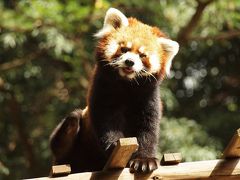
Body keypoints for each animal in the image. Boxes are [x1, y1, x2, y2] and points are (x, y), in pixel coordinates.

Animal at [49, 7, 179, 174]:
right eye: (124, 49)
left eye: (142, 55)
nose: (130, 61)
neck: (127, 84)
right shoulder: (102, 89)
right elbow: (107, 119)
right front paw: (114, 143)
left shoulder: (148, 97)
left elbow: (148, 128)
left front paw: (145, 160)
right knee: (68, 129)